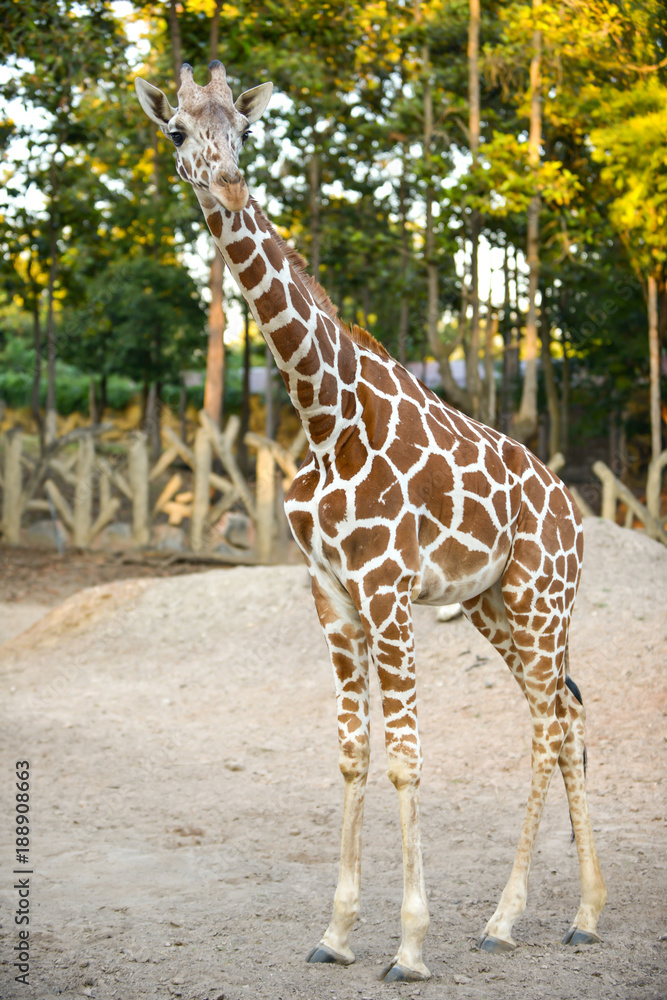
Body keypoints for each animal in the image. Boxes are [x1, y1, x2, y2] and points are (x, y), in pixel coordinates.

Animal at [135, 62, 606, 982]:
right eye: (176, 129)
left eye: (244, 129)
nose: (227, 182)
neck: (322, 415)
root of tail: (573, 514)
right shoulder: (331, 594)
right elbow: (354, 752)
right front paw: (337, 933)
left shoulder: (386, 590)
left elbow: (407, 758)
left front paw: (410, 947)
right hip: (496, 608)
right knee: (563, 719)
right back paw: (581, 915)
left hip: (539, 600)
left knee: (547, 728)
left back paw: (505, 920)